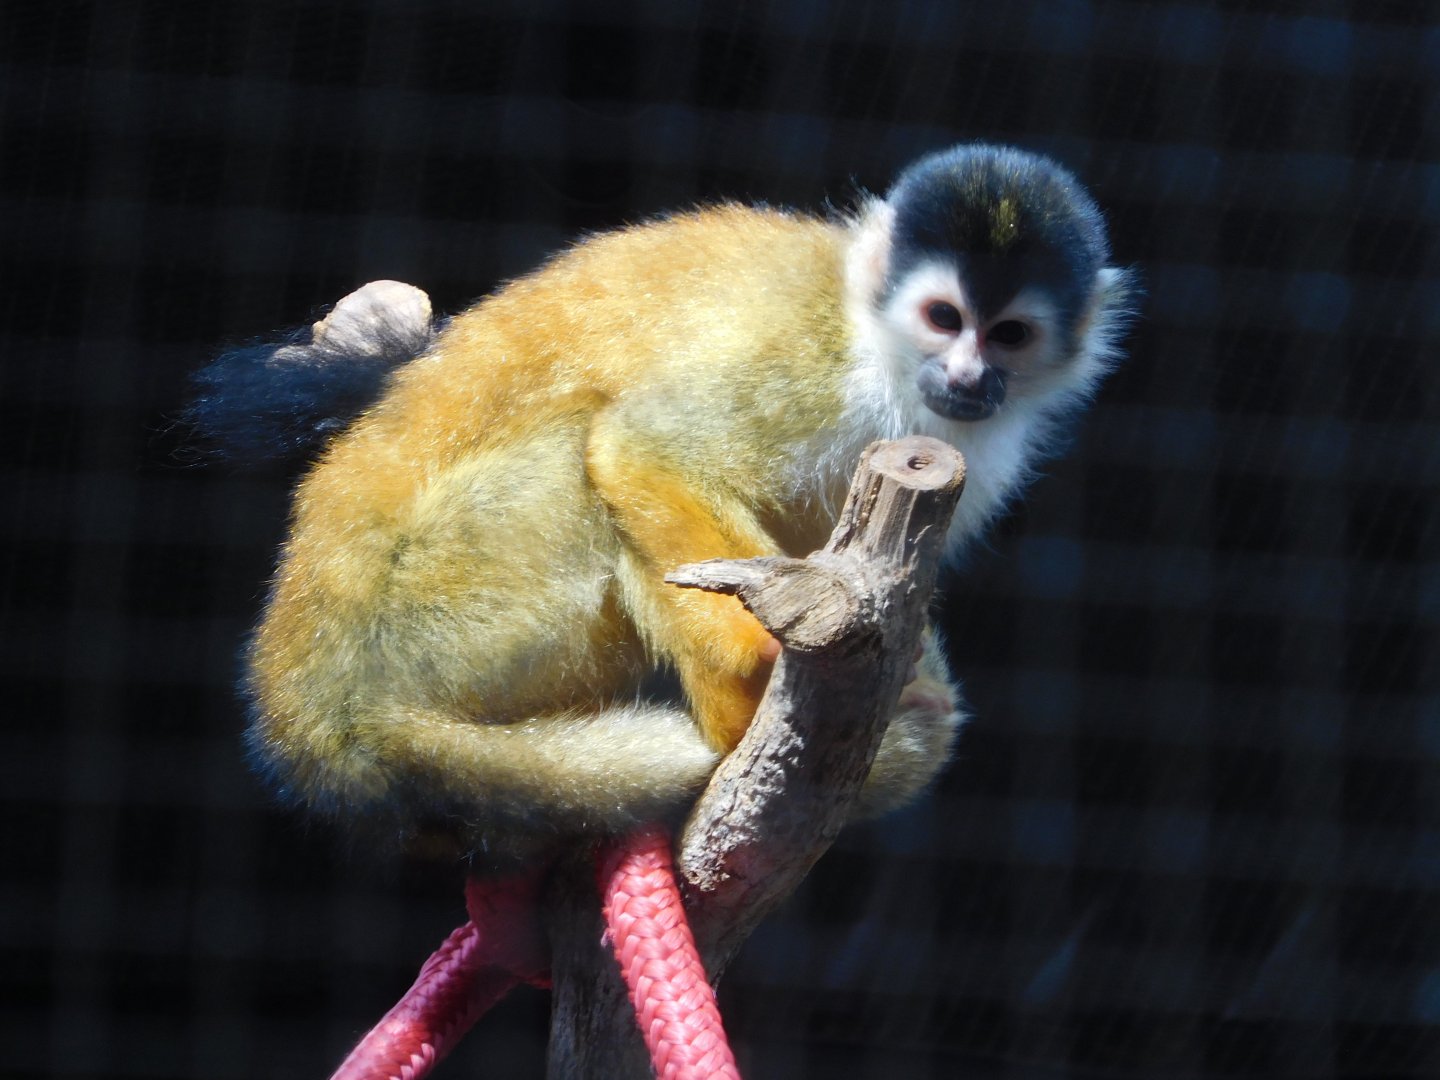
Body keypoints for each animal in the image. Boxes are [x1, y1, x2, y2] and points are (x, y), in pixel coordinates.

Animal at [215, 143, 1133, 867]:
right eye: (944, 318)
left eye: (1008, 335)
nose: (971, 376)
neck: (885, 356)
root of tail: (314, 717)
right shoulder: (810, 364)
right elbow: (644, 446)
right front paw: (768, 654)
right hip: (431, 621)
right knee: (581, 455)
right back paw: (731, 728)